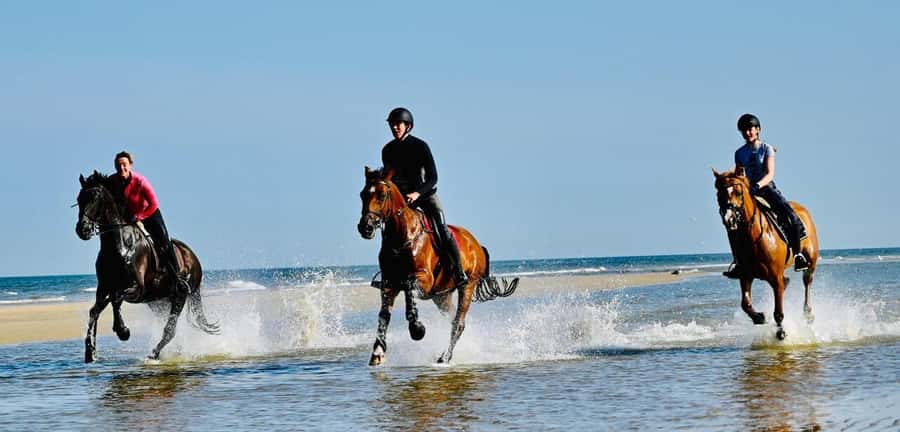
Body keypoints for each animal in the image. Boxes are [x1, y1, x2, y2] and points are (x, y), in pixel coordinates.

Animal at [75, 171, 219, 362]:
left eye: (95, 198)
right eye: (79, 199)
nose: (82, 230)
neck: (119, 245)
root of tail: (194, 259)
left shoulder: (136, 288)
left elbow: (115, 299)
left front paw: (123, 331)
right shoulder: (104, 287)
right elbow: (95, 310)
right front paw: (90, 351)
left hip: (180, 295)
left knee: (170, 329)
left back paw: (154, 354)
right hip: (159, 302)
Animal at [357, 167, 518, 365]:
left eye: (381, 195)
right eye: (363, 194)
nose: (365, 227)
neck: (402, 236)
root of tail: (477, 245)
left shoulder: (424, 277)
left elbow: (409, 288)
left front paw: (417, 328)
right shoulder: (389, 283)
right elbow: (383, 316)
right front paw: (378, 353)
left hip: (467, 286)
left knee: (458, 323)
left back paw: (445, 357)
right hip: (441, 296)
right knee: (453, 320)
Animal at [713, 169, 819, 340]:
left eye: (738, 192)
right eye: (719, 195)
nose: (729, 219)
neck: (752, 237)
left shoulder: (775, 277)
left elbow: (778, 312)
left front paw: (781, 332)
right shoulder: (746, 276)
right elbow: (745, 304)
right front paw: (759, 317)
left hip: (810, 261)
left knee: (807, 281)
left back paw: (808, 314)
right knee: (787, 282)